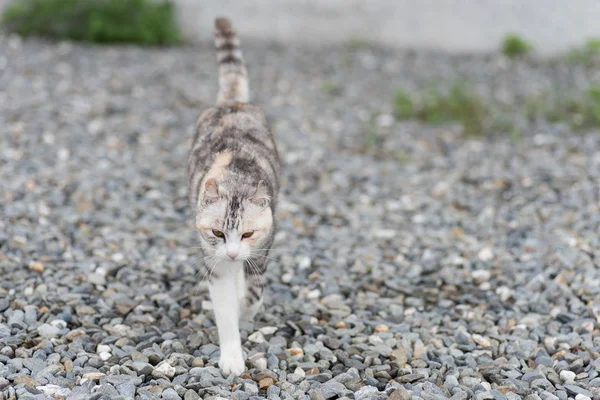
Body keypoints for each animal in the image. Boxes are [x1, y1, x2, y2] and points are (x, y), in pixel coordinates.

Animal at [186, 18, 280, 376]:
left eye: (249, 233)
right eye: (216, 231)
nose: (231, 252)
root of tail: (233, 103)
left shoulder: (262, 249)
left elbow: (254, 295)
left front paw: (245, 310)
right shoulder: (213, 263)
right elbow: (225, 313)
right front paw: (231, 358)